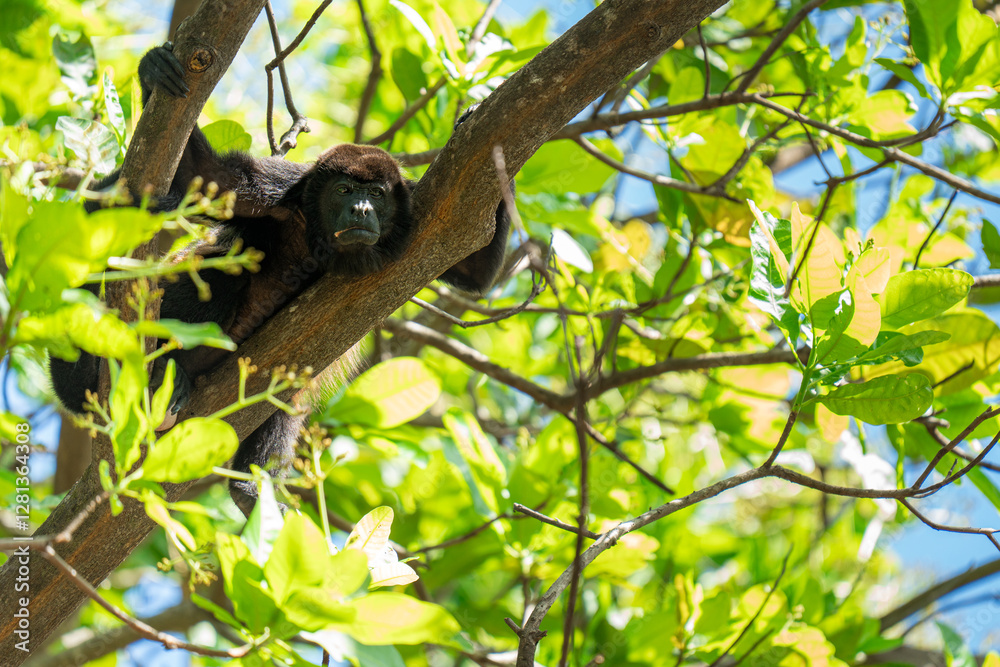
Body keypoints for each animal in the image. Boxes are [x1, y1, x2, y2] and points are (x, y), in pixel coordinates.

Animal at [50, 44, 510, 516]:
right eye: (344, 191)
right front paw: (154, 71)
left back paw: (251, 487)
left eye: (377, 194)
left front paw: (476, 131)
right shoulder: (280, 189)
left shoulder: (413, 209)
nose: (361, 210)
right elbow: (207, 175)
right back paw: (166, 368)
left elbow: (471, 263)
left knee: (288, 387)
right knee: (221, 275)